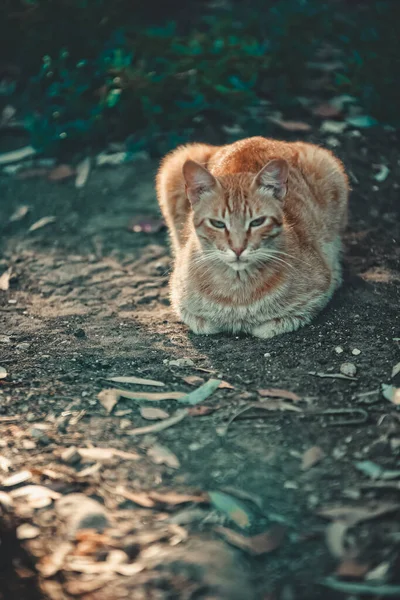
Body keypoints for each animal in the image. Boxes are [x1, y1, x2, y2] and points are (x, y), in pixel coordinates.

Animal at [155, 138, 348, 340]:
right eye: (217, 223)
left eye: (257, 222)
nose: (238, 248)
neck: (238, 292)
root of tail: (254, 139)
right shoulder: (181, 301)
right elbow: (203, 323)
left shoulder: (315, 295)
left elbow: (270, 326)